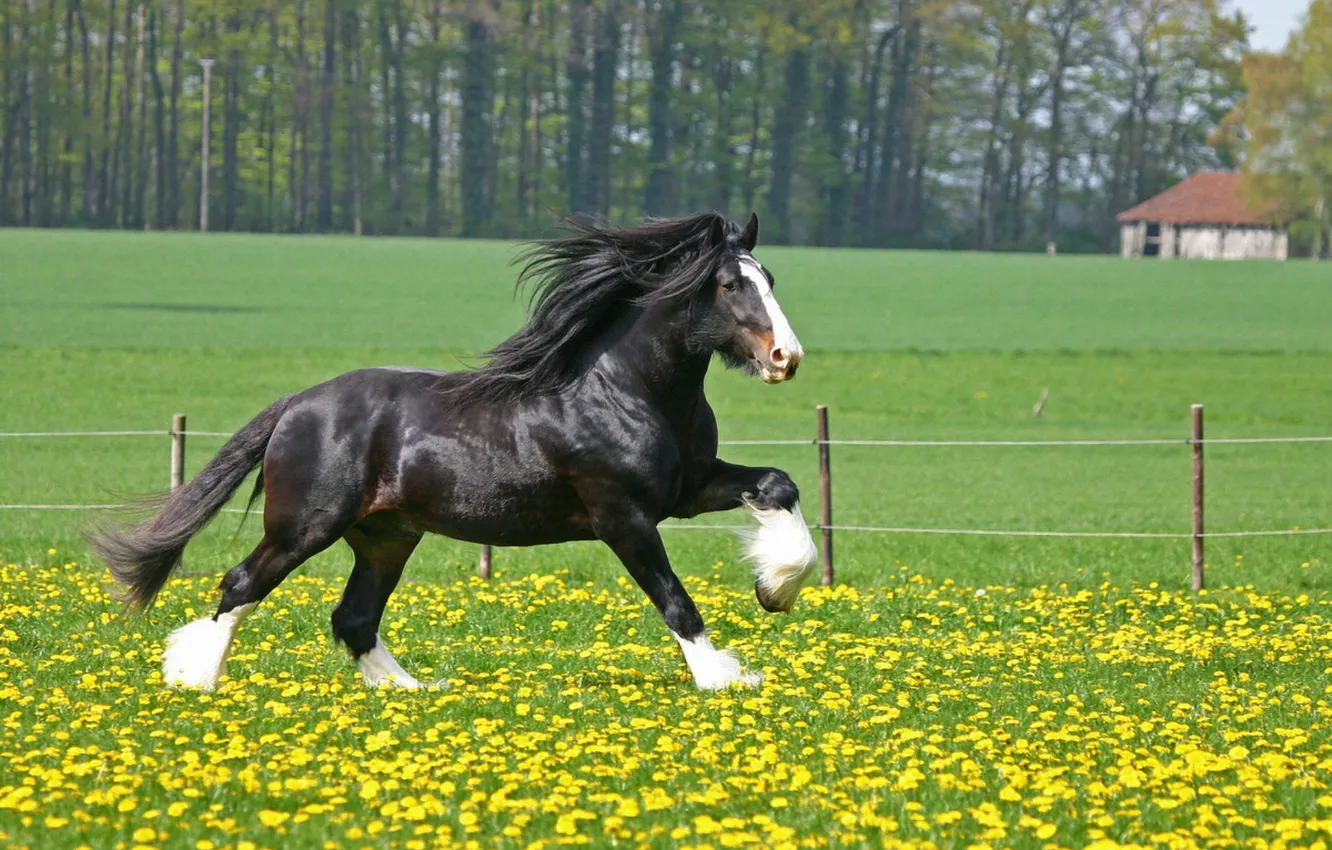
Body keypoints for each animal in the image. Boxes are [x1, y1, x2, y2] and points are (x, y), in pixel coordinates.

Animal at [88, 211, 817, 692]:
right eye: (729, 285)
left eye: (771, 277)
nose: (787, 357)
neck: (626, 389)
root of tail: (297, 404)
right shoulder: (623, 515)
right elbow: (673, 598)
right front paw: (724, 676)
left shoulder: (687, 489)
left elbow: (778, 485)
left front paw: (774, 589)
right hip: (305, 526)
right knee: (241, 585)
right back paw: (191, 677)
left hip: (386, 535)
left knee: (353, 617)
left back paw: (411, 691)